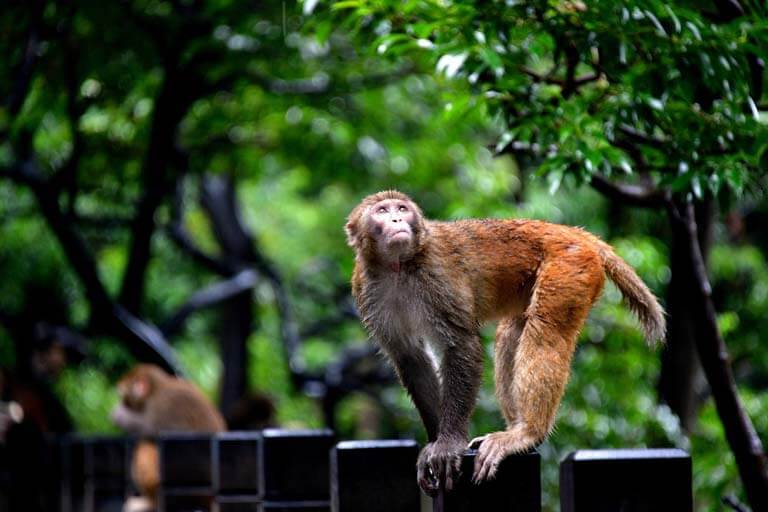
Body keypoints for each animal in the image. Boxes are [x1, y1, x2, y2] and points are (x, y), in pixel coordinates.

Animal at [111, 364, 225, 512]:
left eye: (123, 397)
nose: (122, 403)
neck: (156, 389)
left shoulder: (162, 406)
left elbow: (153, 430)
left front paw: (121, 416)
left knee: (146, 446)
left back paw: (153, 503)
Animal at [344, 190, 664, 494]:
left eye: (401, 208)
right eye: (382, 211)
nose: (397, 219)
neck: (399, 268)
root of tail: (571, 232)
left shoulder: (436, 276)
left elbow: (461, 344)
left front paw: (448, 443)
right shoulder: (366, 287)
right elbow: (410, 358)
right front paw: (435, 442)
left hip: (569, 267)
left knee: (545, 331)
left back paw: (527, 433)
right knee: (511, 334)